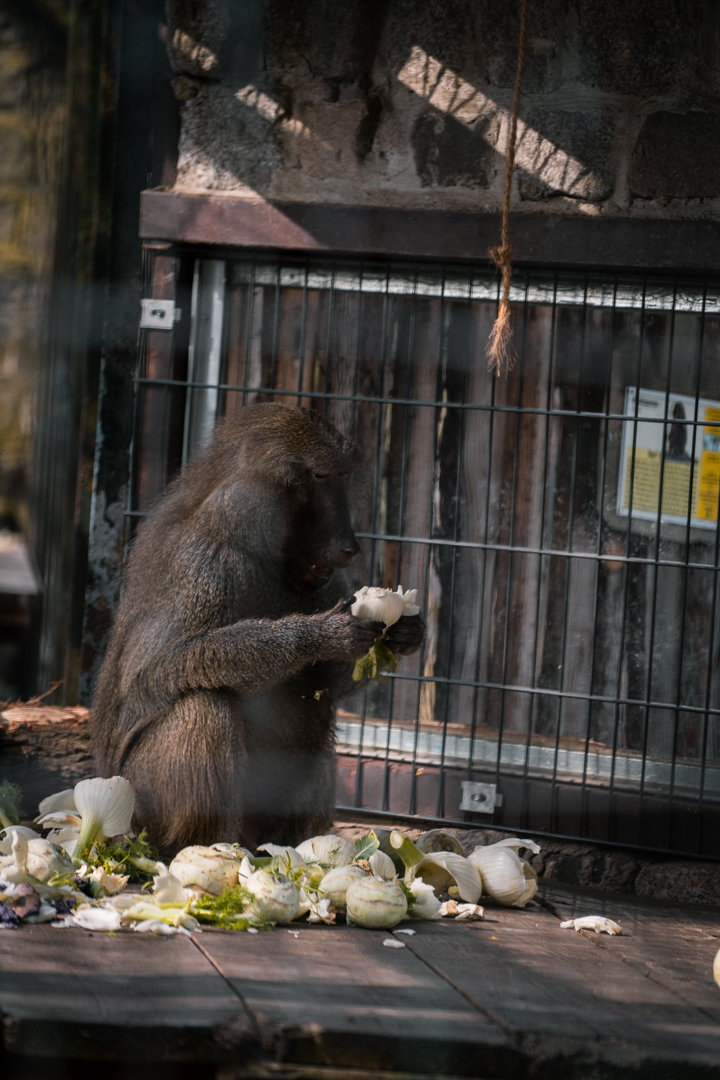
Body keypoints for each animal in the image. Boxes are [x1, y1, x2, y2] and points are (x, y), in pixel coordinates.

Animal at [91, 403, 424, 856]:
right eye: (320, 477)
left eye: (343, 476)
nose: (350, 546)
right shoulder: (203, 564)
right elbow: (156, 669)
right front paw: (316, 635)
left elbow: (323, 683)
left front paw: (406, 633)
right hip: (142, 805)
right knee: (205, 708)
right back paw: (199, 850)